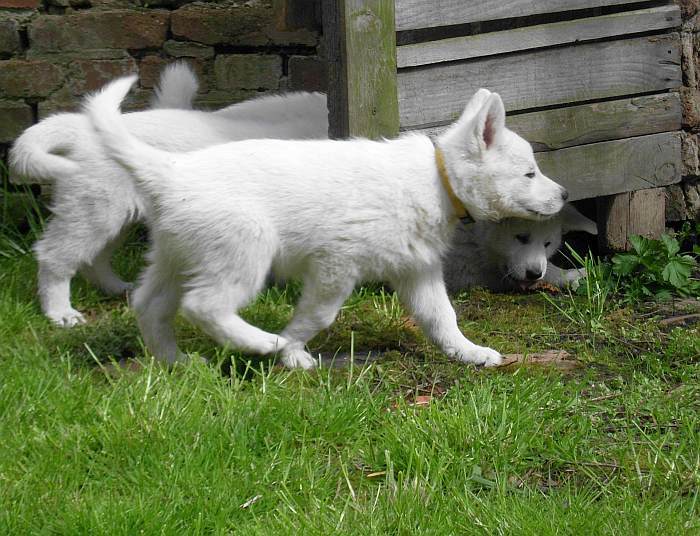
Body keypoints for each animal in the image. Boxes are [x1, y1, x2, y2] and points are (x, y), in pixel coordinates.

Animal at [10, 62, 328, 326]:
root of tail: (83, 130)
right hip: (95, 209)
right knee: (54, 256)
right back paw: (60, 313)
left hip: (115, 215)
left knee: (94, 259)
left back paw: (118, 288)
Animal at [86, 75, 568, 368]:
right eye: (530, 173)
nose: (565, 195)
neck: (438, 180)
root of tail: (171, 172)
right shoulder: (336, 265)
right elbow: (317, 316)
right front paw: (293, 352)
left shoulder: (417, 268)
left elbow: (441, 317)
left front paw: (468, 353)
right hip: (244, 247)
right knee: (205, 305)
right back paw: (262, 342)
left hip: (177, 255)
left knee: (149, 304)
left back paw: (175, 362)